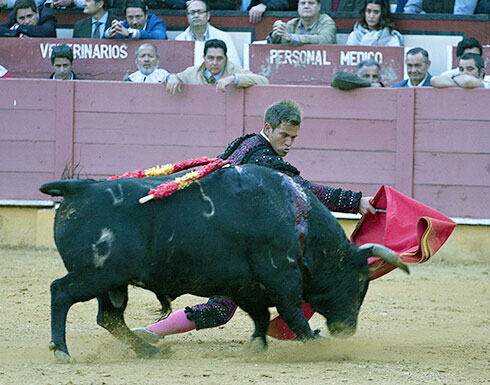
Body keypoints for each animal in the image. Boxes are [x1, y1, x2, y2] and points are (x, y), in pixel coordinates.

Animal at [40, 165, 408, 364]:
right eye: (360, 283)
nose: (348, 330)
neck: (297, 218)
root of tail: (79, 188)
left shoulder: (246, 286)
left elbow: (261, 317)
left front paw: (256, 346)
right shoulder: (282, 276)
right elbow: (291, 314)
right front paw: (318, 345)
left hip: (112, 283)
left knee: (109, 317)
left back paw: (149, 350)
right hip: (97, 274)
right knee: (61, 292)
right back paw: (61, 350)